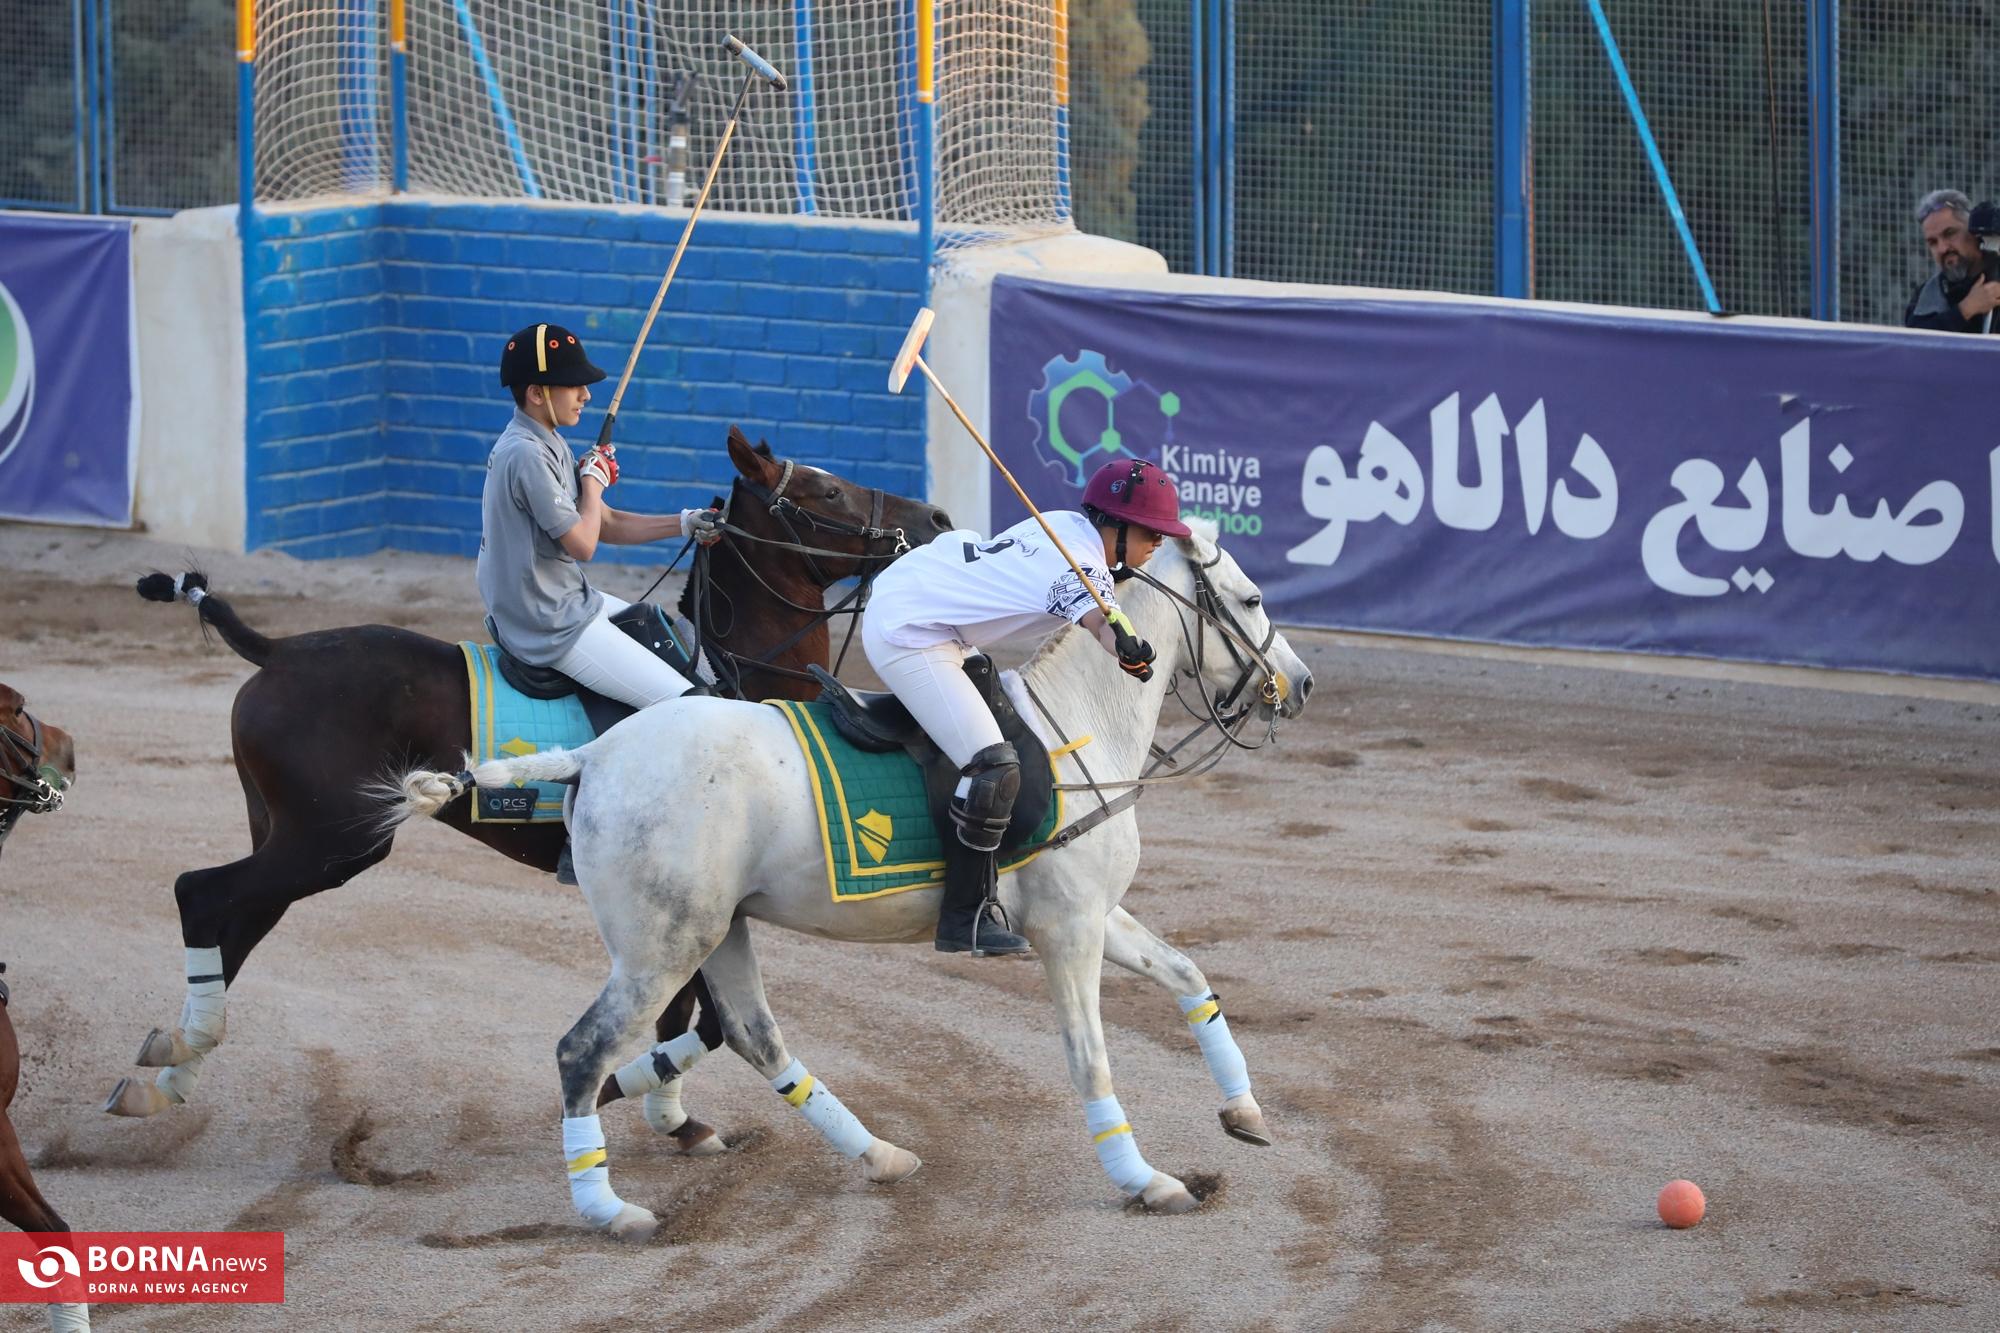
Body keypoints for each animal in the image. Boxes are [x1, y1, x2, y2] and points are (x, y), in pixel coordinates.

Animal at [103, 428, 953, 1150]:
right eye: (825, 489)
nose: (938, 516)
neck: (731, 677)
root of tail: (276, 650)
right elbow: (702, 1018)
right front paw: (641, 1102)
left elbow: (693, 1014)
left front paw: (664, 1110)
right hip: (331, 841)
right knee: (202, 895)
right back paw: (173, 1054)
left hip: (294, 837)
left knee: (238, 924)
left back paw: (167, 1072)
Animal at [387, 522, 1314, 1237]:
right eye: (1252, 599)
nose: (1299, 683)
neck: (1076, 729)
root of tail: (595, 753)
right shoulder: (1069, 930)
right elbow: (1090, 1059)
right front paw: (1147, 1179)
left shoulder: (1093, 914)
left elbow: (1189, 974)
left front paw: (1244, 1112)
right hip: (660, 946)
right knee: (584, 1049)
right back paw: (609, 1207)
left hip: (717, 928)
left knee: (754, 1036)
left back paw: (879, 1153)